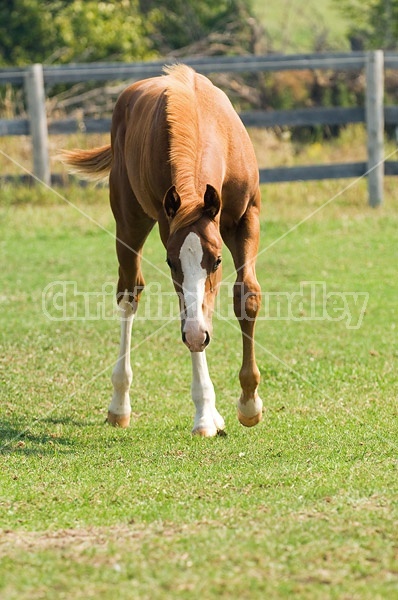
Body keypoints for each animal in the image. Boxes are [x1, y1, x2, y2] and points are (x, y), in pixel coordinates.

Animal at [61, 64, 262, 436]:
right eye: (170, 262)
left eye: (217, 260)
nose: (198, 336)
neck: (200, 120)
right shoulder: (169, 227)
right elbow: (186, 311)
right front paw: (204, 414)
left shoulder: (246, 219)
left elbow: (246, 297)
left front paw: (249, 403)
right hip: (129, 224)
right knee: (129, 294)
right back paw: (120, 405)